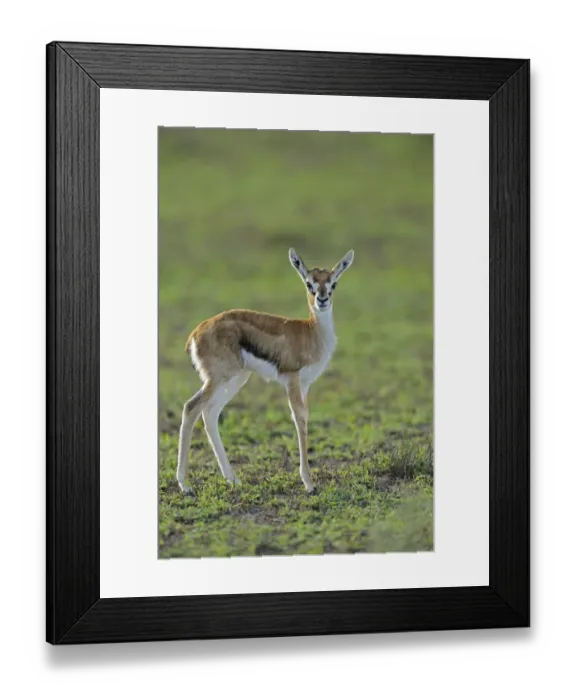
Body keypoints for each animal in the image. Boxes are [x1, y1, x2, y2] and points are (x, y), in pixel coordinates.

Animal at [176, 248, 354, 495]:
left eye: (333, 283)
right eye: (309, 283)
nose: (322, 300)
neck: (312, 333)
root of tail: (196, 332)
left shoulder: (305, 385)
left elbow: (305, 418)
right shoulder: (292, 380)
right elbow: (299, 419)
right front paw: (309, 483)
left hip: (235, 379)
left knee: (210, 413)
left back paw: (232, 479)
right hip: (219, 379)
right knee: (191, 408)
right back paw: (185, 485)